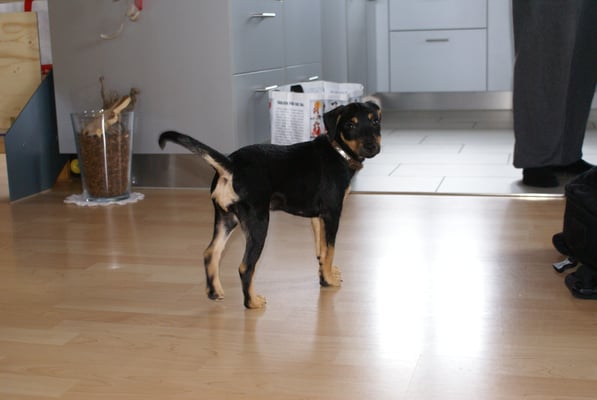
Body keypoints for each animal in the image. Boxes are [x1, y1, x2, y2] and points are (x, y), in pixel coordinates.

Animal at [158, 100, 381, 308]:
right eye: (350, 125)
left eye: (375, 122)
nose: (372, 147)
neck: (338, 150)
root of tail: (231, 165)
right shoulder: (332, 213)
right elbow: (331, 248)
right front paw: (328, 280)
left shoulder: (318, 218)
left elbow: (322, 250)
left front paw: (325, 272)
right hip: (258, 222)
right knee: (245, 267)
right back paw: (252, 302)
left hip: (226, 218)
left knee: (211, 253)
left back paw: (214, 292)